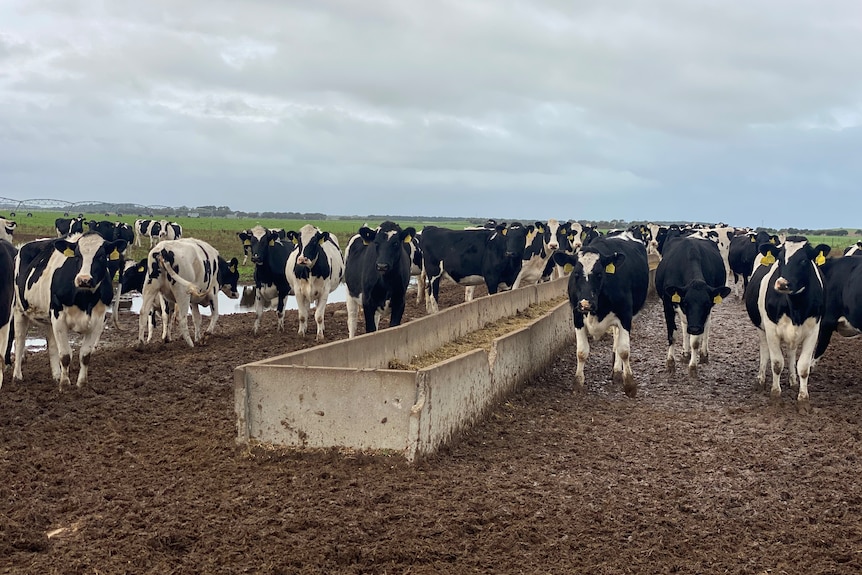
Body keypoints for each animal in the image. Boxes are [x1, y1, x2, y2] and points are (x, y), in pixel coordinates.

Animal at [13, 234, 128, 392]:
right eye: (77, 255)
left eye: (101, 256)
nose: (84, 279)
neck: (84, 299)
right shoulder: (59, 317)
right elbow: (66, 355)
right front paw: (65, 385)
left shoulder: (98, 321)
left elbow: (85, 355)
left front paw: (81, 384)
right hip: (19, 310)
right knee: (20, 341)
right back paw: (17, 376)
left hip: (49, 318)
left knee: (52, 345)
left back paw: (56, 375)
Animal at [552, 234, 648, 396]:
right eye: (576, 274)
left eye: (599, 274)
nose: (586, 304)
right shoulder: (577, 316)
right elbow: (581, 352)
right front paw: (578, 383)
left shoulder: (625, 316)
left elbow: (624, 350)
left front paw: (630, 384)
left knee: (618, 341)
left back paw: (618, 371)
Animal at [660, 230, 732, 378]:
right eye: (686, 303)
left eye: (706, 304)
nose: (694, 329)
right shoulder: (668, 304)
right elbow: (672, 335)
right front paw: (670, 362)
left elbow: (695, 341)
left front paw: (693, 366)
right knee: (684, 325)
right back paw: (685, 352)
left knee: (706, 326)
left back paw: (703, 354)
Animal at [744, 236, 832, 412]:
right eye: (779, 259)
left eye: (804, 260)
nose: (782, 284)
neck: (795, 306)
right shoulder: (771, 330)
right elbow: (777, 363)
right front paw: (776, 395)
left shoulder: (813, 331)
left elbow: (803, 367)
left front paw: (803, 399)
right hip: (761, 328)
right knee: (765, 350)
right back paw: (761, 379)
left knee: (791, 353)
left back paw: (793, 380)